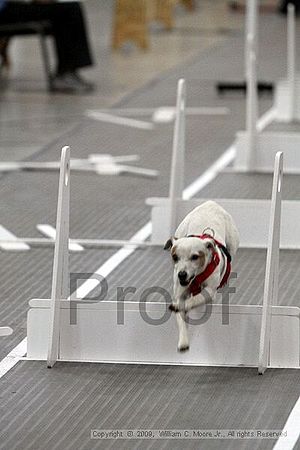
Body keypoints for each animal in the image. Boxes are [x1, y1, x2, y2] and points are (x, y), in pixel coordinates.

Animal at [164, 200, 239, 352]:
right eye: (175, 257)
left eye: (195, 257)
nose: (181, 274)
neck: (195, 278)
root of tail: (211, 203)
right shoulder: (180, 293)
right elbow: (181, 317)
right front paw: (183, 341)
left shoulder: (209, 291)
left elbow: (195, 299)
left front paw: (184, 305)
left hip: (233, 243)